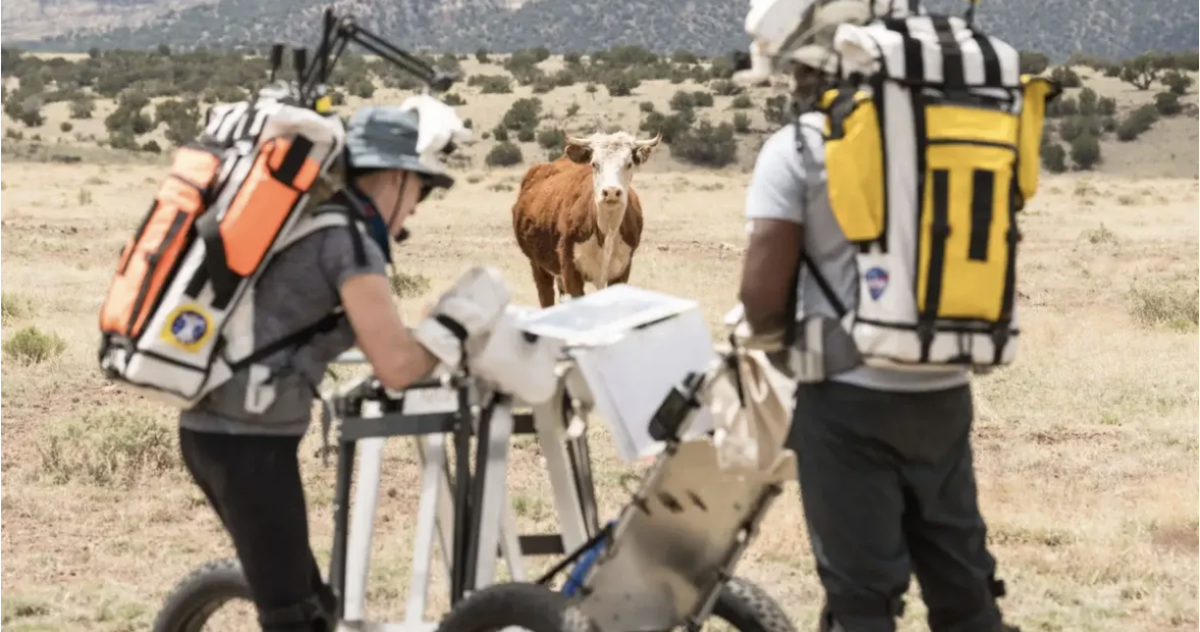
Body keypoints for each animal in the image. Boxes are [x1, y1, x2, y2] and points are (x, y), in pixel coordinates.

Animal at [511, 130, 667, 307]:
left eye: (629, 164)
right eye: (594, 164)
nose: (611, 192)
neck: (607, 231)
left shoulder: (622, 271)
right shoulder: (570, 271)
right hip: (538, 267)